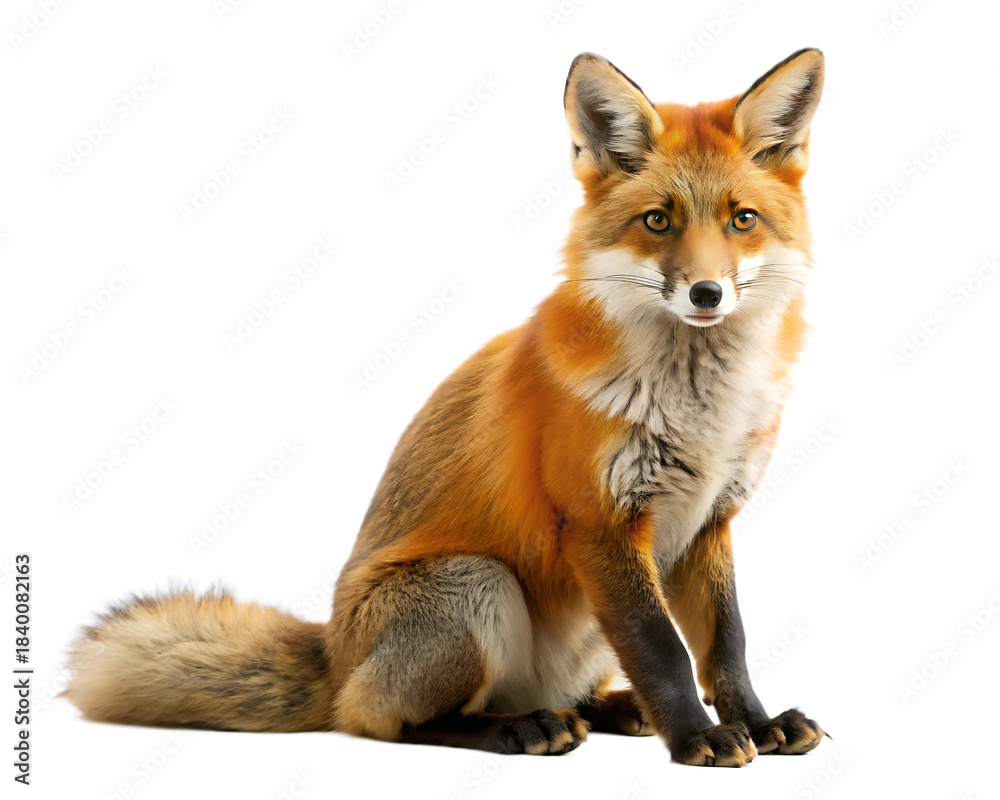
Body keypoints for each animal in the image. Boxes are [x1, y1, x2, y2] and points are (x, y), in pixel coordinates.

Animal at [66, 49, 827, 767]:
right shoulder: (600, 522)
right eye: (658, 221)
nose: (706, 293)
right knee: (382, 719)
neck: (702, 412)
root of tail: (335, 654)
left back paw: (610, 709)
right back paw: (519, 727)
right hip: (475, 584)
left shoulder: (709, 520)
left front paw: (757, 723)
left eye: (742, 221)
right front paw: (699, 738)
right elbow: (662, 649)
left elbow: (727, 647)